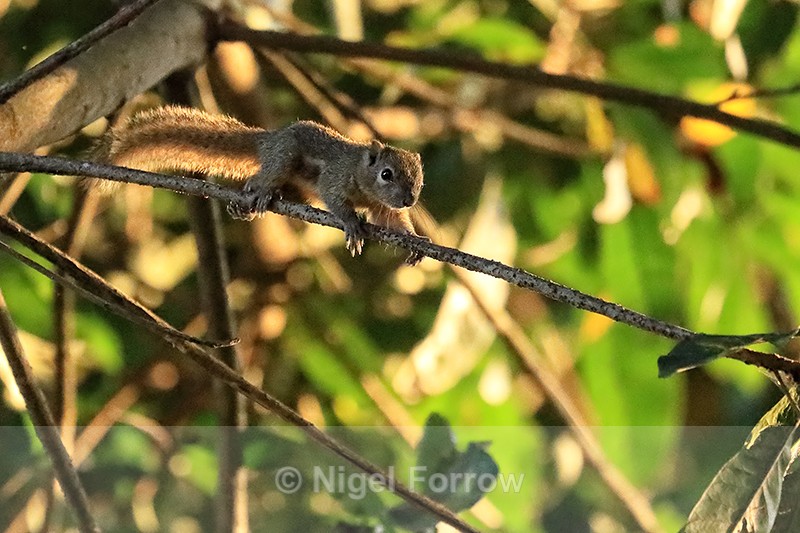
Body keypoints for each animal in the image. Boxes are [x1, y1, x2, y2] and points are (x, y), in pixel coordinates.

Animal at [101, 106, 426, 262]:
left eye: (420, 181)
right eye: (386, 174)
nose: (409, 199)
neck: (361, 174)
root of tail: (268, 141)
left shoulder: (384, 208)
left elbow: (394, 223)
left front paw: (415, 240)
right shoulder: (335, 176)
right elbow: (336, 201)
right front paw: (352, 224)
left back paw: (247, 206)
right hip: (284, 158)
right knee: (263, 177)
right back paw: (258, 194)